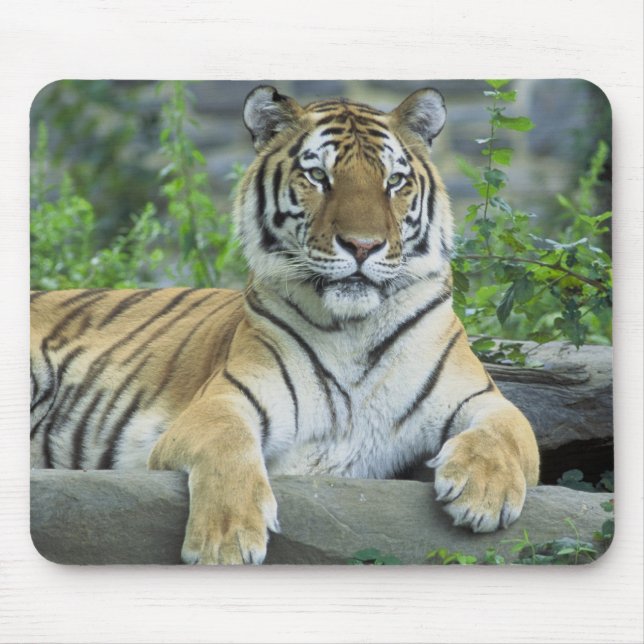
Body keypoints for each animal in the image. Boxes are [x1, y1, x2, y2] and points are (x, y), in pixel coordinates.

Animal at [30, 85, 540, 565]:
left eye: (394, 181)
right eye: (319, 176)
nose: (363, 245)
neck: (354, 329)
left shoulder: (480, 396)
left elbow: (510, 429)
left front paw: (483, 496)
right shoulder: (223, 401)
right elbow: (229, 444)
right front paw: (226, 542)